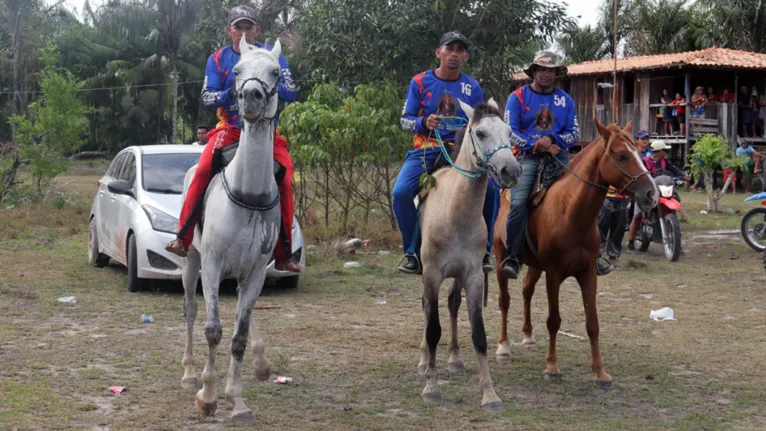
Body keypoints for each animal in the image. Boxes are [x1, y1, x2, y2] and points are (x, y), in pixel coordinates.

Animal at [181, 38, 284, 426]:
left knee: (245, 314)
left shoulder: (255, 271)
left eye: (275, 71)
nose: (250, 96)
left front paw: (236, 400)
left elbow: (238, 335)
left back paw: (261, 361)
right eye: (236, 71)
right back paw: (189, 372)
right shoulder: (212, 265)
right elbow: (213, 330)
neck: (249, 193)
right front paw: (208, 396)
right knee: (190, 309)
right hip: (191, 259)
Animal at [416, 99, 524, 414]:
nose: (511, 171)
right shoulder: (432, 274)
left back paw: (454, 359)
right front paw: (432, 387)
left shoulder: (474, 276)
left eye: (509, 132)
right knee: (427, 308)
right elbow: (433, 329)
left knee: (452, 305)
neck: (455, 213)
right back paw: (424, 361)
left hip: (458, 276)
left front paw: (490, 394)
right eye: (481, 132)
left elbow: (479, 335)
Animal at [496, 120, 664, 388]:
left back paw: (528, 336)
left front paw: (601, 372)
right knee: (505, 300)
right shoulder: (553, 274)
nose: (652, 194)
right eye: (621, 155)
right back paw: (503, 347)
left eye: (639, 153)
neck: (571, 212)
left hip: (535, 265)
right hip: (500, 255)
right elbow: (554, 321)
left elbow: (593, 323)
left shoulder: (588, 273)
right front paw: (552, 367)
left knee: (526, 290)